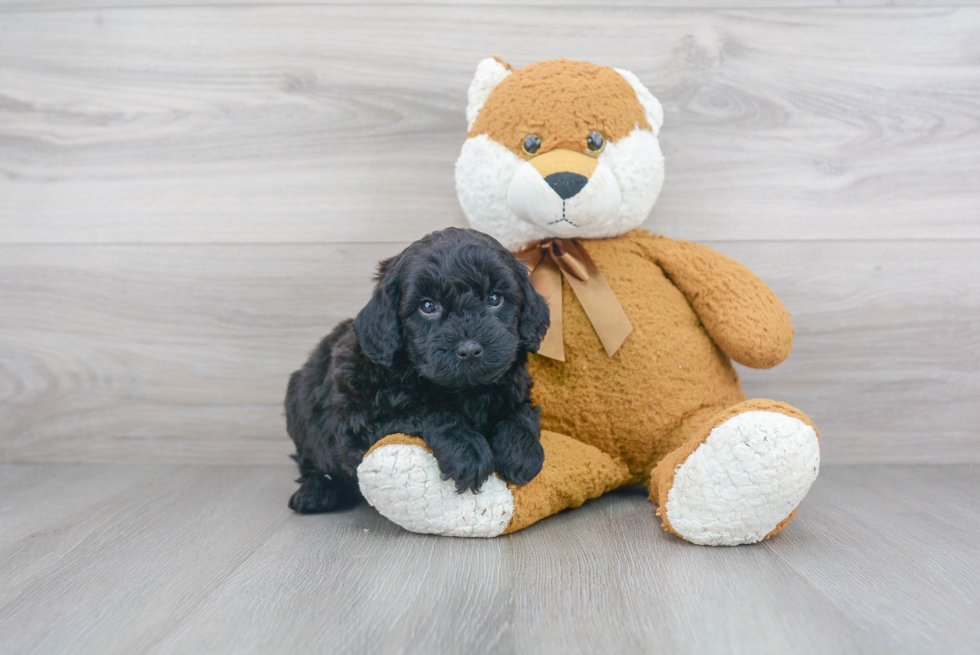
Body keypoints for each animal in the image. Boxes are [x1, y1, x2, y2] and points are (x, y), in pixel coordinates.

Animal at [288, 228, 556, 516]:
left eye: (495, 299)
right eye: (427, 306)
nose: (470, 349)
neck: (465, 391)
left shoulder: (515, 386)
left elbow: (520, 412)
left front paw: (521, 450)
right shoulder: (358, 423)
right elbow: (429, 411)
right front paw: (467, 450)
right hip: (298, 408)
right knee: (310, 461)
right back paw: (317, 491)